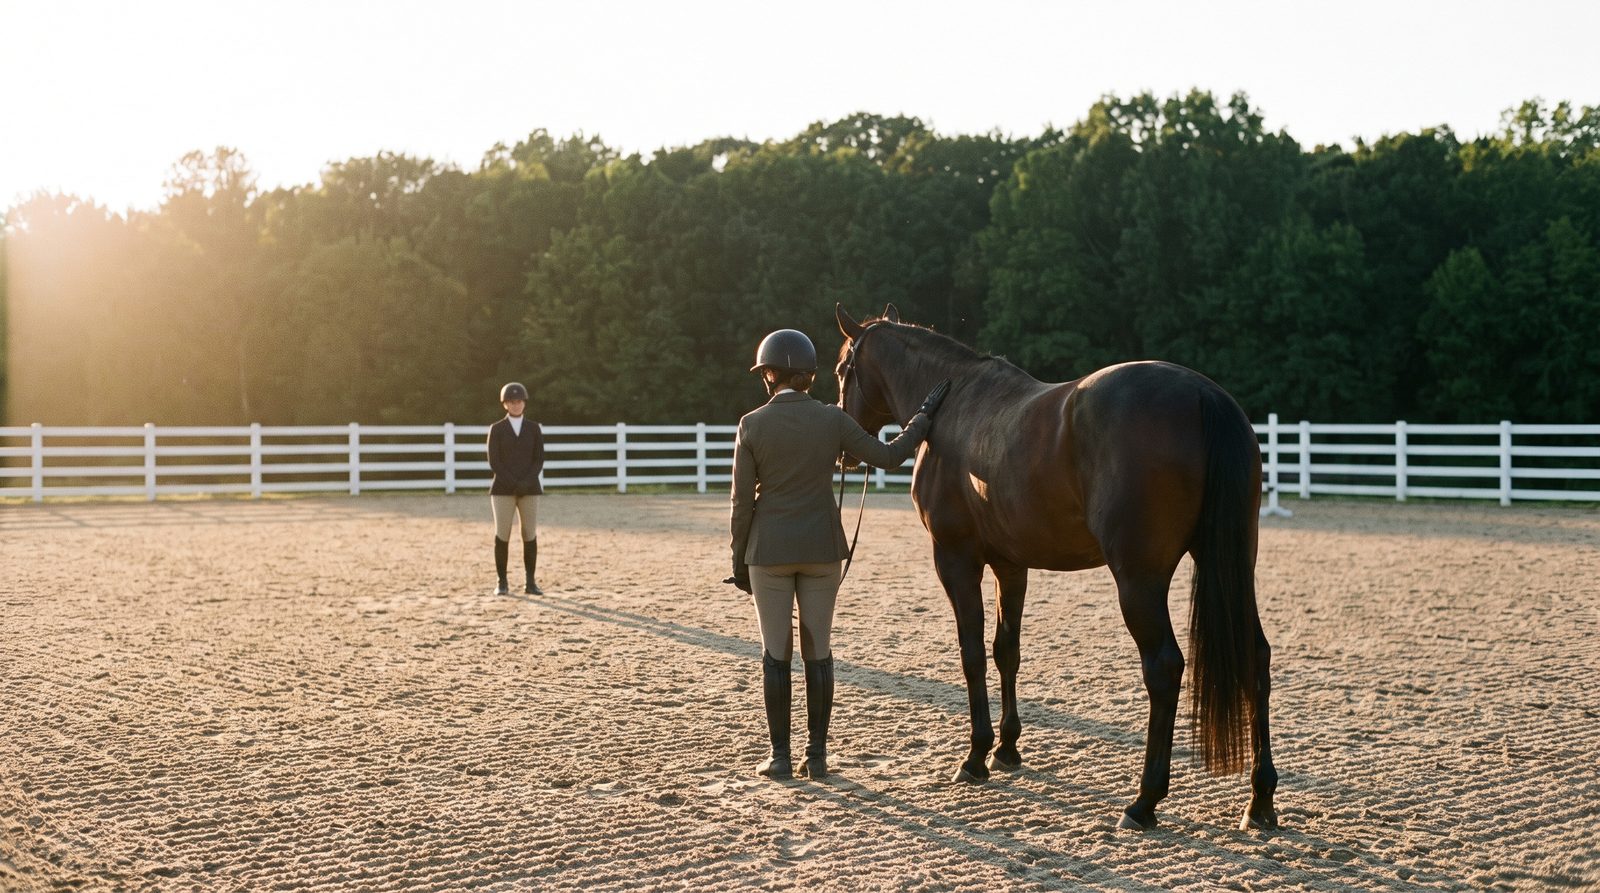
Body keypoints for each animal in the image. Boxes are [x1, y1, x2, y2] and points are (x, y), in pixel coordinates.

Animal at [834, 304, 1277, 832]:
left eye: (841, 369)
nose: (843, 447)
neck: (953, 408)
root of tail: (1203, 395)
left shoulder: (956, 560)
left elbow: (971, 654)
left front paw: (976, 756)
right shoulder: (1011, 565)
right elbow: (1006, 650)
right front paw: (1007, 749)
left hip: (1140, 581)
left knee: (1164, 668)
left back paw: (1144, 801)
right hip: (1231, 565)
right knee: (1256, 657)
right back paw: (1260, 801)